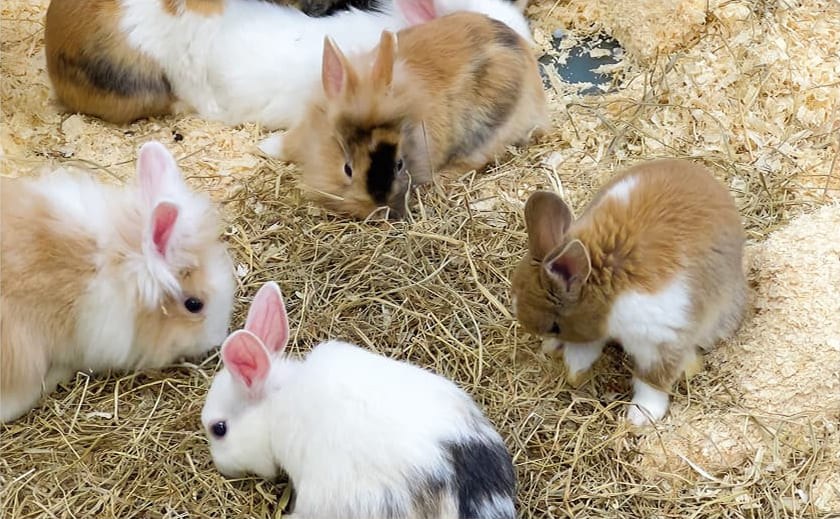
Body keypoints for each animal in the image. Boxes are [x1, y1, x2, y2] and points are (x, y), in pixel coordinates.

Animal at [510, 160, 747, 426]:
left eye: (554, 326)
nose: (547, 340)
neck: (609, 291)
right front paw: (574, 368)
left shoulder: (662, 342)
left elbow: (651, 382)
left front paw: (640, 418)